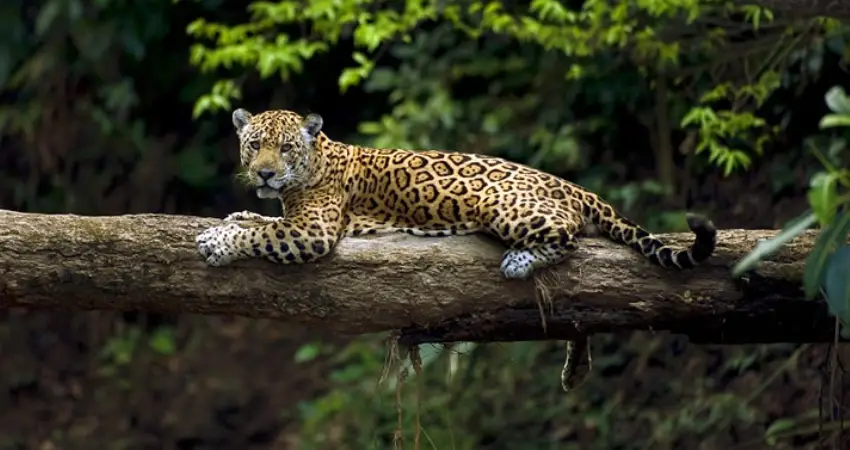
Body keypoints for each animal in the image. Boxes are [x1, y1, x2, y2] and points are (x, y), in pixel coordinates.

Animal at [195, 107, 718, 390]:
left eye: (285, 149)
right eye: (254, 144)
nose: (264, 173)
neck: (316, 160)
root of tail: (572, 186)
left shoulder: (313, 229)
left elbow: (264, 235)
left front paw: (217, 240)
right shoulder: (294, 216)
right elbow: (263, 221)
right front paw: (238, 216)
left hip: (506, 206)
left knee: (566, 235)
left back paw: (519, 261)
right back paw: (574, 370)